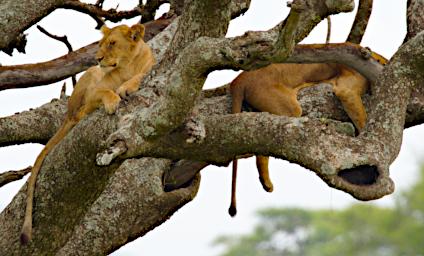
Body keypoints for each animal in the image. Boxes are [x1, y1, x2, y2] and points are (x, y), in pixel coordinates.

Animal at [20, 24, 156, 244]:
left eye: (112, 43)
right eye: (100, 44)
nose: (97, 59)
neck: (126, 66)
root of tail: (66, 114)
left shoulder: (150, 67)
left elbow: (139, 77)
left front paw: (127, 87)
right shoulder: (95, 91)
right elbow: (105, 92)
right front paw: (113, 101)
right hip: (89, 77)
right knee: (79, 114)